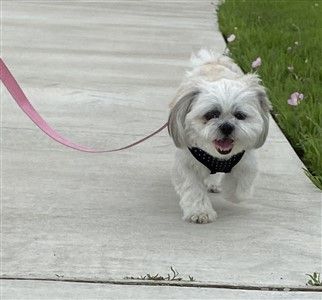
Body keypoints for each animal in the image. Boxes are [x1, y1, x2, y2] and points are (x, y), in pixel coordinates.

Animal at [167, 48, 270, 223]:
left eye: (240, 115)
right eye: (211, 115)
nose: (226, 126)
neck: (218, 158)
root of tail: (213, 61)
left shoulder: (247, 161)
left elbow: (240, 186)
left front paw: (230, 193)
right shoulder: (186, 164)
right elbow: (193, 188)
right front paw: (200, 211)